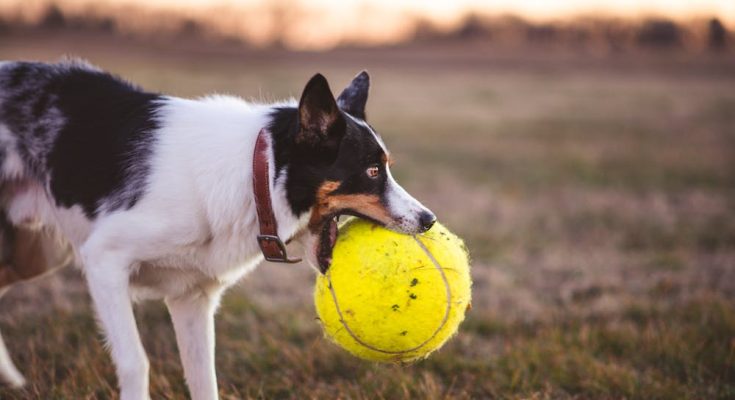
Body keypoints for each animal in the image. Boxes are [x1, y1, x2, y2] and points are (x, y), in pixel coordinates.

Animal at [0, 60, 436, 400]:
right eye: (373, 171)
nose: (428, 219)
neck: (255, 174)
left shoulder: (191, 299)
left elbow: (203, 378)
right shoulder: (104, 261)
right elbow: (135, 361)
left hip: (38, 252)